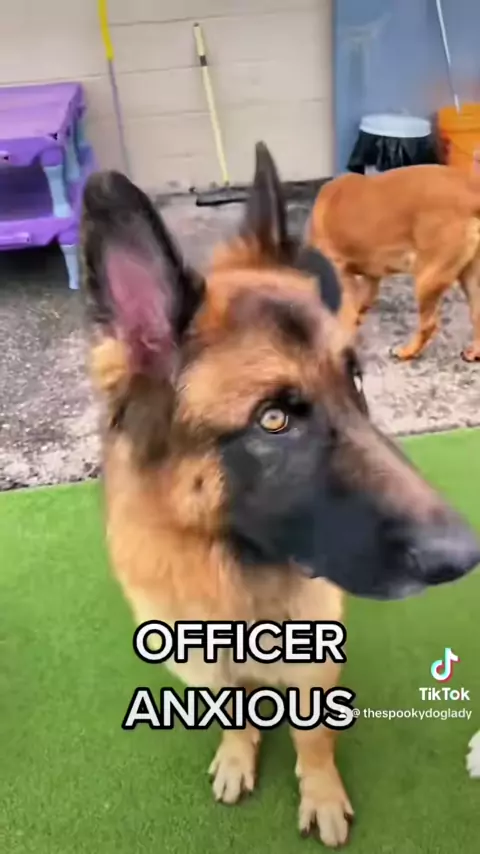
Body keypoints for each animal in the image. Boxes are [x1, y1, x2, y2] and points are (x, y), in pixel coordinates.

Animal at [307, 164, 480, 362]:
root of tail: (470, 192)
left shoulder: (342, 274)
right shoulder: (371, 278)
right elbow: (361, 305)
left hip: (427, 280)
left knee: (428, 325)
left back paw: (407, 352)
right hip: (469, 277)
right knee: (477, 314)